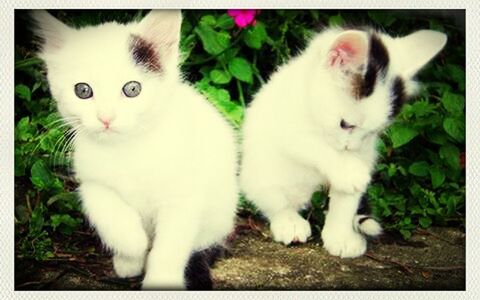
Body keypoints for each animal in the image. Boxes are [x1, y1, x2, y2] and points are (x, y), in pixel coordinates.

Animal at [31, 10, 238, 290]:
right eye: (82, 90)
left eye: (132, 89)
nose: (106, 118)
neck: (127, 149)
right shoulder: (91, 182)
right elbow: (107, 209)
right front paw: (133, 247)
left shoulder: (183, 196)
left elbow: (170, 245)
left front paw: (160, 276)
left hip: (221, 211)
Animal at [242, 27, 448, 258]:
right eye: (345, 124)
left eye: (373, 132)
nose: (351, 148)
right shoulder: (284, 125)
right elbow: (311, 144)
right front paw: (346, 167)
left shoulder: (365, 152)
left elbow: (346, 199)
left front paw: (340, 237)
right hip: (261, 173)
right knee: (275, 199)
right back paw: (288, 220)